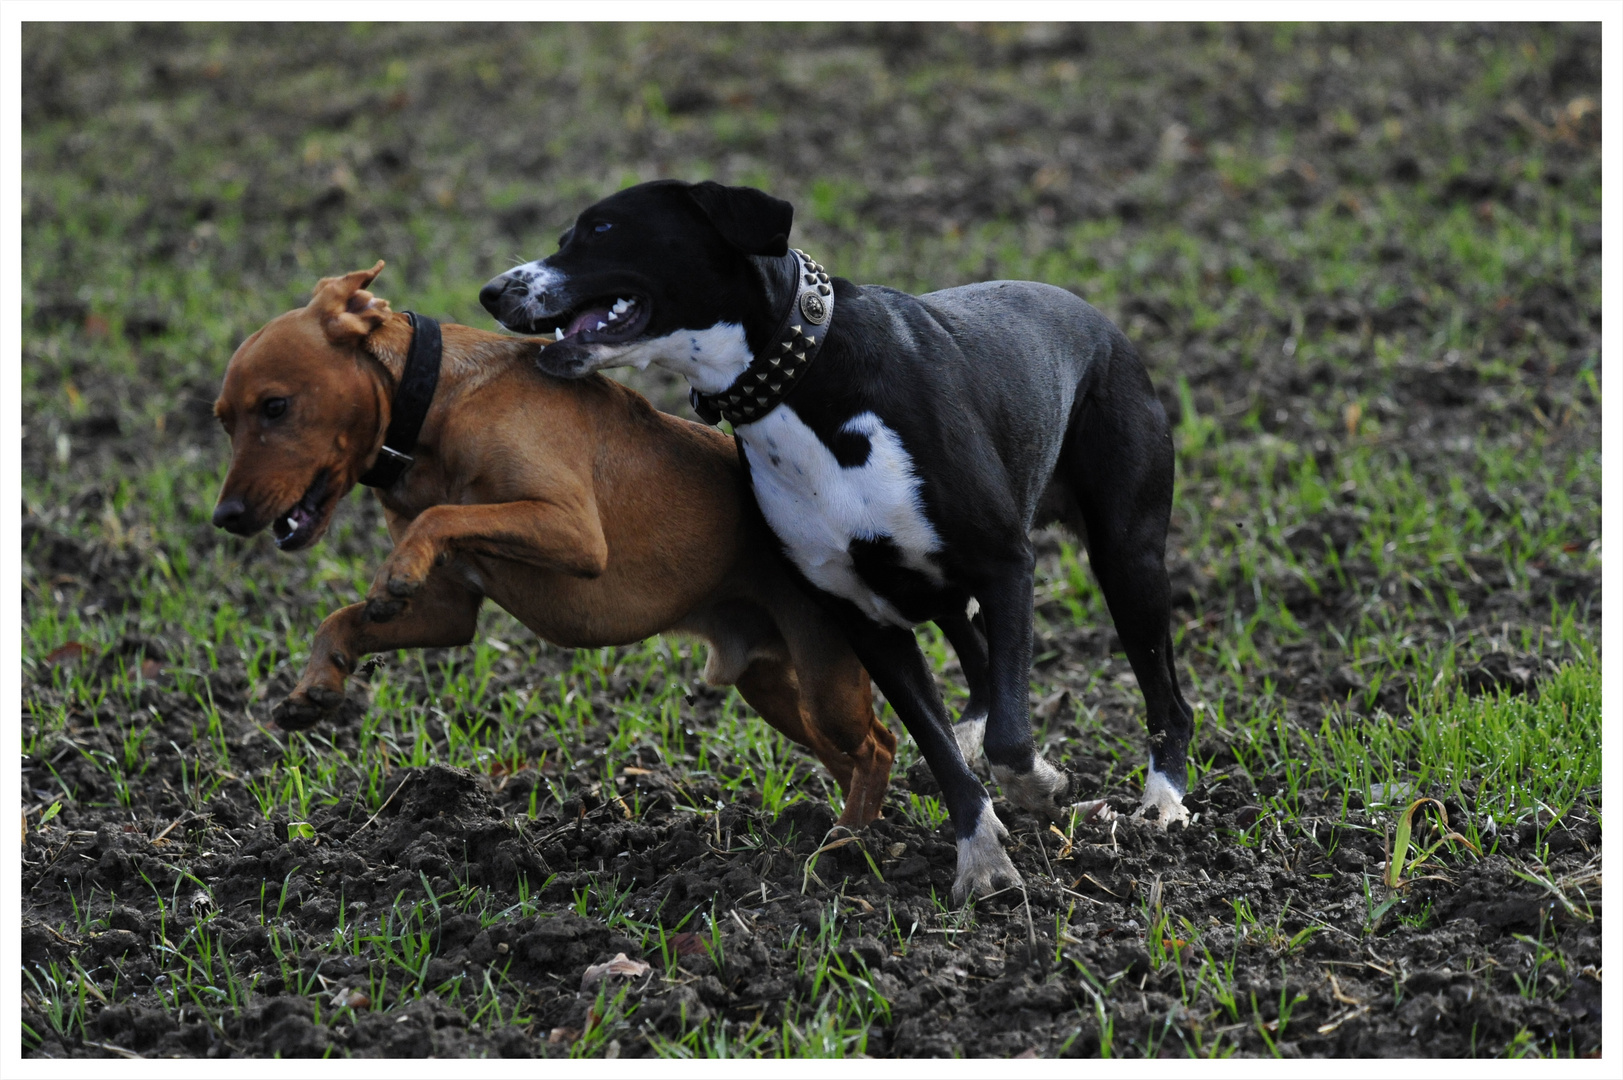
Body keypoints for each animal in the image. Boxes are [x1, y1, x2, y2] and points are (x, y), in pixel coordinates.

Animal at [209, 263, 895, 825]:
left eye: (275, 406)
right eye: (222, 420)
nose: (225, 516)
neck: (437, 405)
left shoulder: (572, 530)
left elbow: (440, 515)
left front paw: (395, 570)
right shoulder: (449, 612)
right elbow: (342, 617)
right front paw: (316, 684)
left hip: (825, 683)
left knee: (878, 747)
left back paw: (847, 846)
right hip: (772, 685)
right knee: (856, 753)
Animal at [473, 178, 1201, 902]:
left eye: (601, 230)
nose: (493, 291)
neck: (796, 382)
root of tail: (1097, 319)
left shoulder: (1004, 568)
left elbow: (1011, 740)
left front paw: (1042, 788)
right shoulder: (864, 616)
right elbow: (938, 747)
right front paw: (981, 855)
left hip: (1127, 561)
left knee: (1167, 698)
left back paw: (1162, 805)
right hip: (938, 585)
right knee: (973, 654)